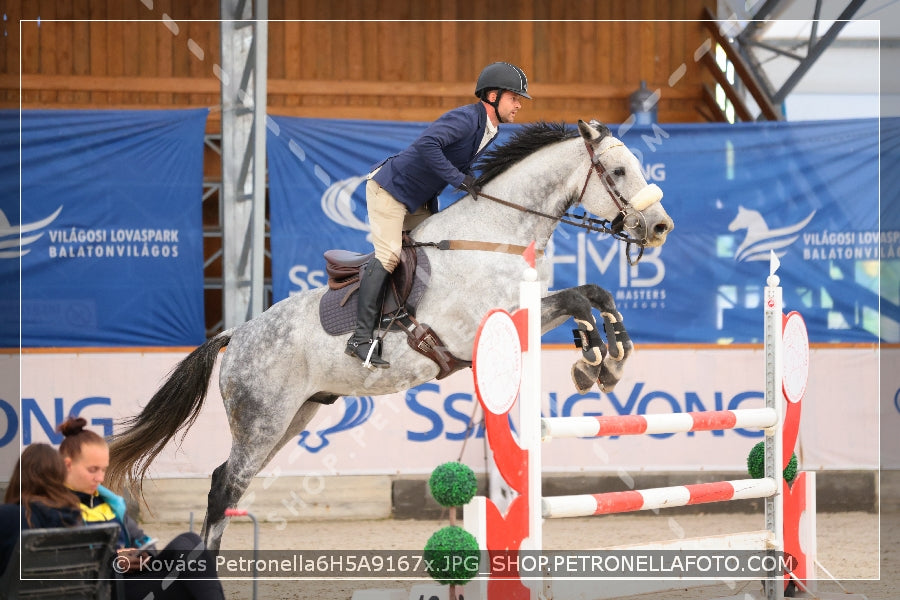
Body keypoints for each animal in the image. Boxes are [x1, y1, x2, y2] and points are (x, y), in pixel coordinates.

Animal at [107, 119, 668, 552]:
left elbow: (594, 294)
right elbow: (577, 302)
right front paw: (593, 362)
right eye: (619, 171)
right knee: (225, 486)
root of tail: (236, 334)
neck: (497, 234)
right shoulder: (493, 324)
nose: (660, 227)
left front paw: (609, 361)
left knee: (226, 482)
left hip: (293, 416)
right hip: (262, 419)